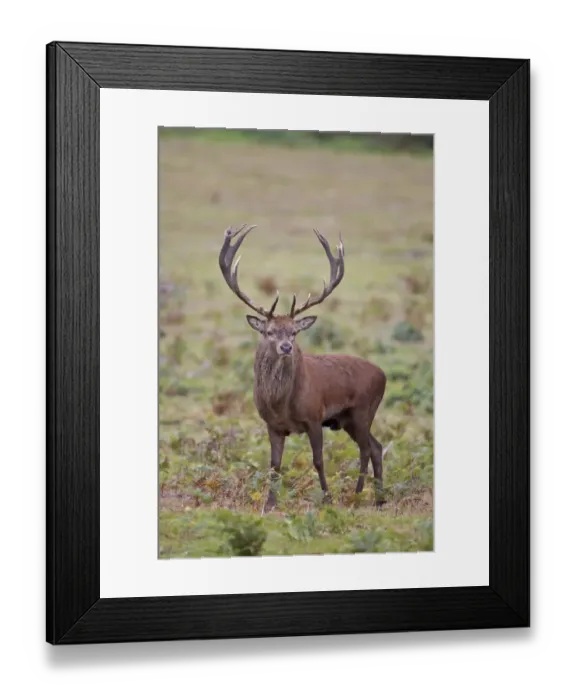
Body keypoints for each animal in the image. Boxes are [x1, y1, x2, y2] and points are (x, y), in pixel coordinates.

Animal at [218, 224, 388, 511]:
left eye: (294, 332)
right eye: (270, 331)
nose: (286, 347)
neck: (281, 404)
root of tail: (383, 374)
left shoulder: (314, 417)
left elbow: (318, 461)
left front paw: (327, 499)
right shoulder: (272, 425)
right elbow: (274, 465)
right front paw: (269, 505)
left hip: (364, 409)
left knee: (366, 448)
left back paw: (358, 495)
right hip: (348, 419)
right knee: (376, 447)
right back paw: (379, 499)